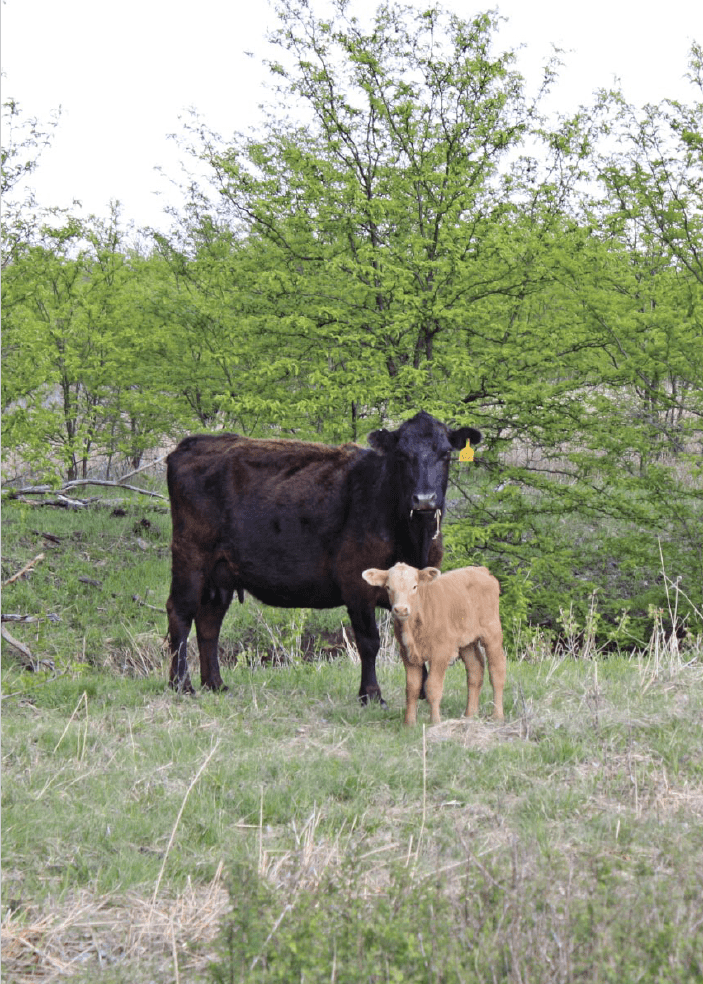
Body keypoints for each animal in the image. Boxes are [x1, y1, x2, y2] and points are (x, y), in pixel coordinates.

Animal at [167, 412, 482, 704]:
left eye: (445, 454)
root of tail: (194, 443)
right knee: (180, 613)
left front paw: (423, 691)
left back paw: (215, 683)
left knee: (209, 622)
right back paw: (181, 684)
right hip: (190, 556)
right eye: (402, 455)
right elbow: (369, 641)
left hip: (221, 571)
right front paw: (371, 694)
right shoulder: (357, 584)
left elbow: (414, 638)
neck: (412, 538)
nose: (425, 499)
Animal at [364, 560, 506, 724]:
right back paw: (469, 715)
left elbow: (433, 686)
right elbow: (412, 688)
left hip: (492, 632)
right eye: (388, 587)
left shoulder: (441, 651)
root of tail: (481, 570)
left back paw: (497, 715)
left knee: (497, 671)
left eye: (414, 586)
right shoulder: (406, 653)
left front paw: (435, 721)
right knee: (475, 670)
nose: (400, 609)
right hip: (466, 642)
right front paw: (409, 723)